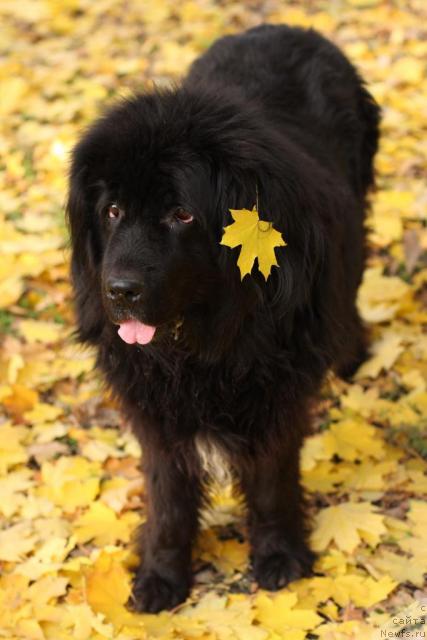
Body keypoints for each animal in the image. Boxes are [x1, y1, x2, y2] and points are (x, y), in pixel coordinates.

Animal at [67, 25, 382, 612]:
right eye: (112, 211)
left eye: (181, 214)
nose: (118, 291)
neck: (202, 342)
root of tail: (290, 28)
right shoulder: (155, 410)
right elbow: (167, 496)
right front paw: (162, 575)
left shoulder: (276, 392)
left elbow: (271, 481)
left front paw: (280, 556)